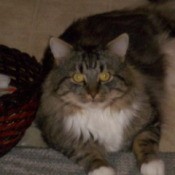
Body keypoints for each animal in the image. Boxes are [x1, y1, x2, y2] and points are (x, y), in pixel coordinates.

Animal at [37, 1, 175, 175]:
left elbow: (144, 140)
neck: (100, 112)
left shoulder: (151, 117)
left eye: (105, 76)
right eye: (78, 77)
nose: (93, 94)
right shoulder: (58, 135)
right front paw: (102, 169)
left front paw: (151, 165)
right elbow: (86, 151)